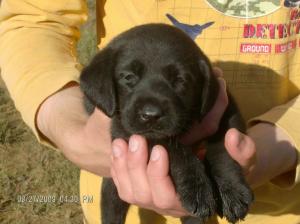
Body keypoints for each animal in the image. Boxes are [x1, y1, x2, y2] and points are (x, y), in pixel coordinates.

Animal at [79, 24, 253, 224]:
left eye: (180, 80)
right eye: (128, 77)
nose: (151, 115)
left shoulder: (226, 108)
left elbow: (223, 146)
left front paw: (233, 190)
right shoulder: (125, 129)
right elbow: (174, 149)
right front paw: (197, 188)